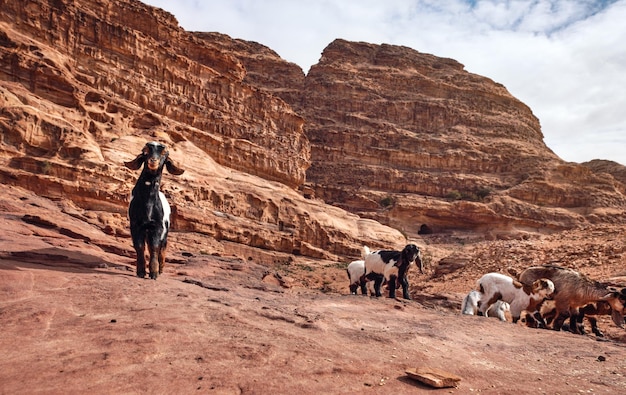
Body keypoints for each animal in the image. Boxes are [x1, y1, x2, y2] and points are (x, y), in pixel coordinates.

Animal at [123, 141, 183, 280]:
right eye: (145, 152)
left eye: (164, 155)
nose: (153, 161)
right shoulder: (135, 225)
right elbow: (140, 247)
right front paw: (141, 272)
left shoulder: (158, 226)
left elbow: (155, 247)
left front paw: (154, 273)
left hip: (165, 230)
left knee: (162, 246)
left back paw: (161, 268)